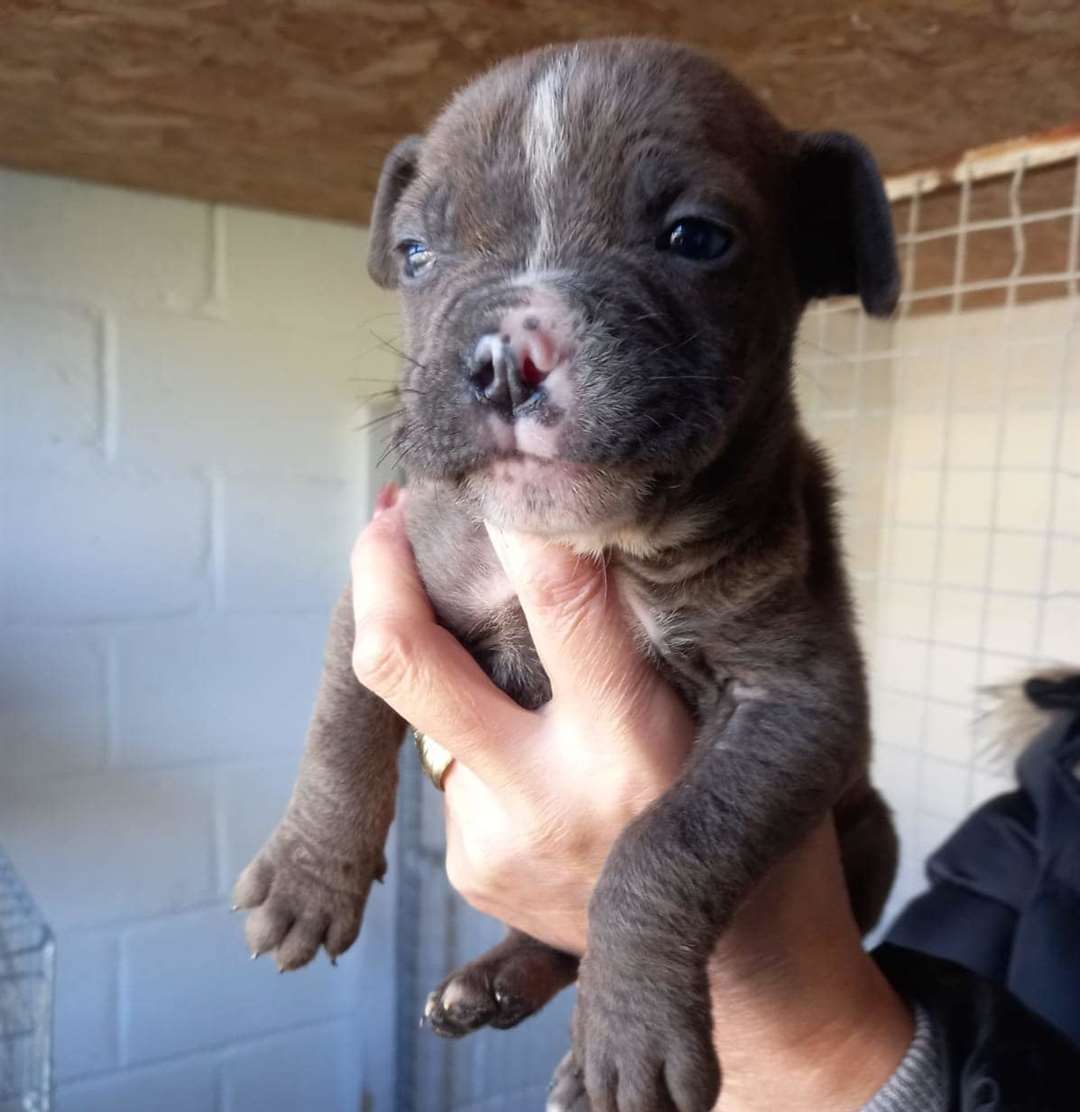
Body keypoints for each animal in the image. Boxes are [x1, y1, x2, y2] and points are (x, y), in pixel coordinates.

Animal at [234, 36, 903, 1112]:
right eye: (416, 254)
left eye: (696, 238)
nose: (507, 355)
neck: (597, 540)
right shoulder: (383, 589)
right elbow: (340, 727)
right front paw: (307, 875)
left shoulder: (796, 701)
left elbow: (666, 844)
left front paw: (628, 1037)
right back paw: (494, 978)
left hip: (871, 829)